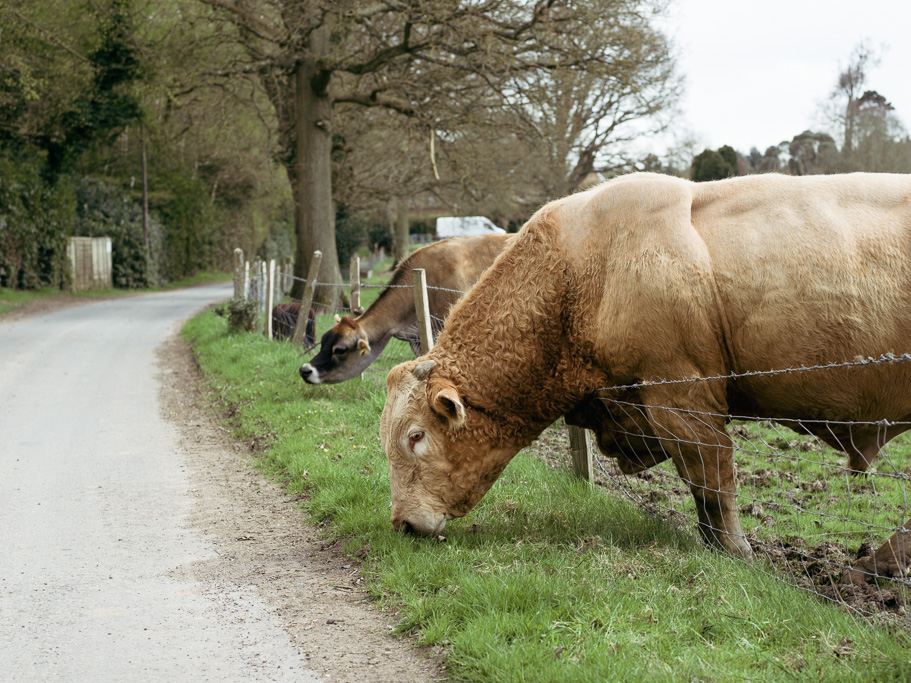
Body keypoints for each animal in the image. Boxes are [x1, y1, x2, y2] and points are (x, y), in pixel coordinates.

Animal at [382, 170, 911, 576]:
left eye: (415, 436)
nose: (403, 524)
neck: (583, 275)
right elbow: (702, 488)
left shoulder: (681, 397)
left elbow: (711, 478)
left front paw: (736, 551)